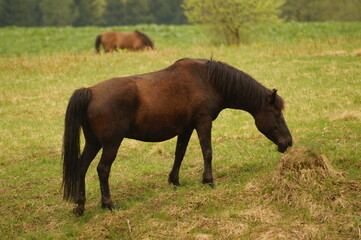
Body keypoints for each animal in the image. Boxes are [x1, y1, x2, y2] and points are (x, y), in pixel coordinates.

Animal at [62, 58, 292, 216]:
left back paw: (80, 206)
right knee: (102, 169)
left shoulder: (186, 128)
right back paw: (108, 204)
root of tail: (90, 91)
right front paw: (209, 181)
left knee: (81, 167)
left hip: (93, 142)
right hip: (111, 143)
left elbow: (179, 153)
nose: (288, 142)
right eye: (276, 114)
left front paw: (174, 181)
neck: (207, 79)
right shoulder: (203, 122)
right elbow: (207, 151)